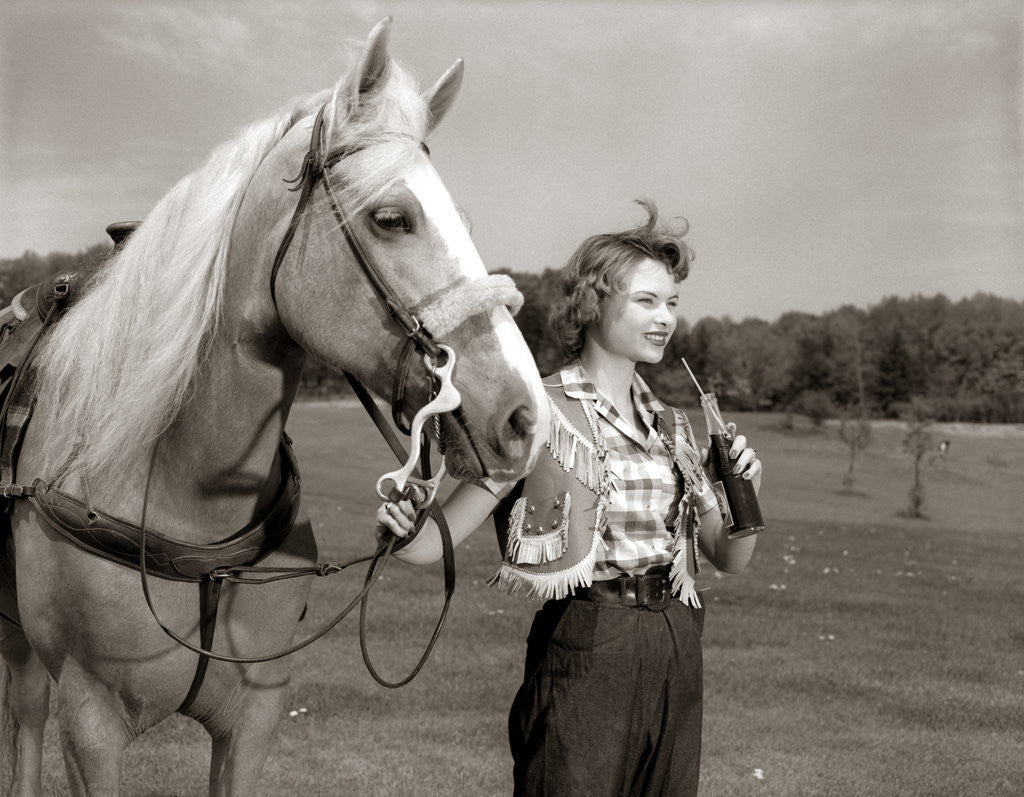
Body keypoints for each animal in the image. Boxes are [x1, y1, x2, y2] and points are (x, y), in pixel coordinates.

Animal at [0, 18, 549, 795]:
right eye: (391, 217)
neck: (179, 491)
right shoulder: (91, 720)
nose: (526, 416)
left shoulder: (254, 719)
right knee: (24, 715)